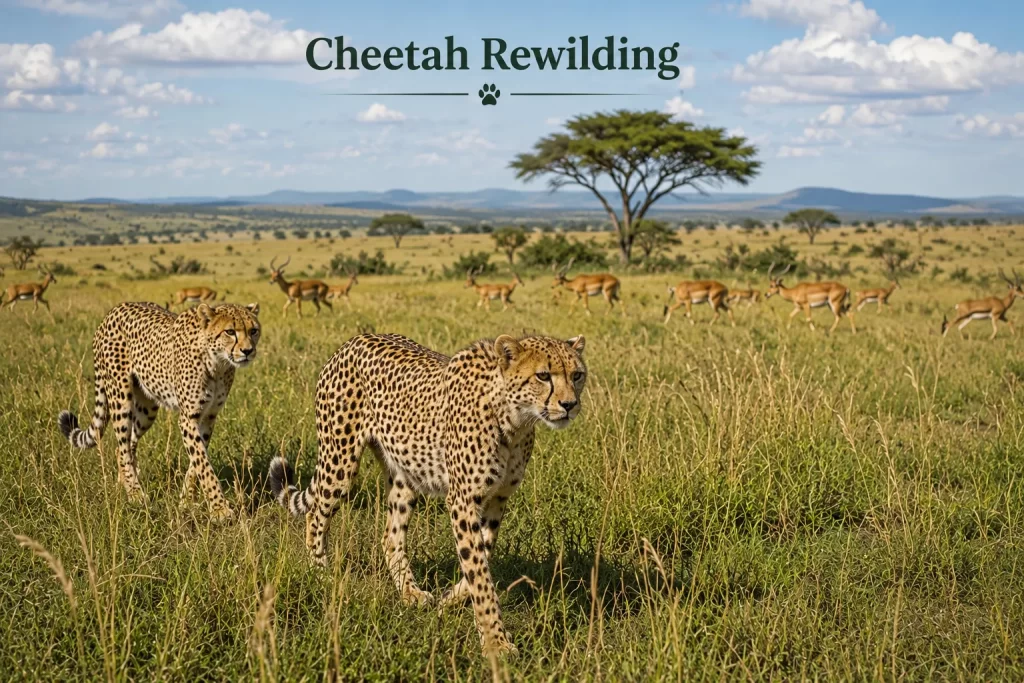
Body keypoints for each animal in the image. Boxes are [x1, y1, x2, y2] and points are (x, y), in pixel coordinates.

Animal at [58, 301, 261, 521]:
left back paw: (123, 484)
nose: (248, 351)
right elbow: (203, 463)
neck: (218, 363)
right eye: (230, 331)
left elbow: (197, 462)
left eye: (253, 331)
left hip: (147, 408)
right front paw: (220, 509)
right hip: (120, 396)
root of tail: (114, 310)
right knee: (122, 446)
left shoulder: (208, 417)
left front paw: (187, 501)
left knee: (126, 445)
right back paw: (135, 493)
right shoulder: (189, 418)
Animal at [268, 332, 587, 656]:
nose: (570, 404)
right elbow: (479, 572)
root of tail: (356, 339)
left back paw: (410, 593)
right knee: (316, 513)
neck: (514, 419)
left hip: (403, 476)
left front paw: (451, 599)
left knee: (390, 536)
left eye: (577, 375)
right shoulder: (462, 500)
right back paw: (320, 572)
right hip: (340, 460)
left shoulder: (497, 499)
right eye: (543, 375)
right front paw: (494, 641)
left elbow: (482, 555)